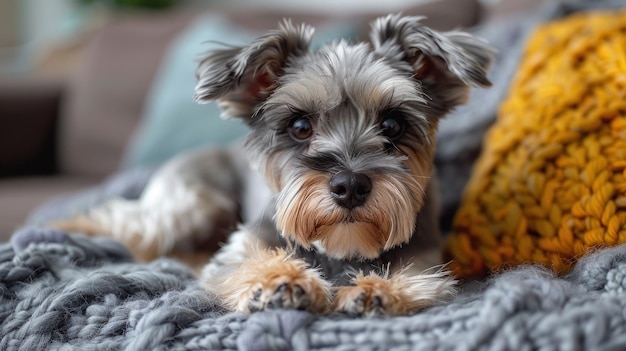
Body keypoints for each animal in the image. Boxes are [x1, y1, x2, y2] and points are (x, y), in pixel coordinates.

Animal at [53, 13, 490, 318]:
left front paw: (377, 289)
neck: (340, 249)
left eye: (393, 124)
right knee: (129, 223)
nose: (349, 186)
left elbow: (416, 279)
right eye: (299, 126)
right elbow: (248, 261)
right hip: (192, 205)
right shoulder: (241, 247)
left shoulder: (426, 259)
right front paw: (282, 279)